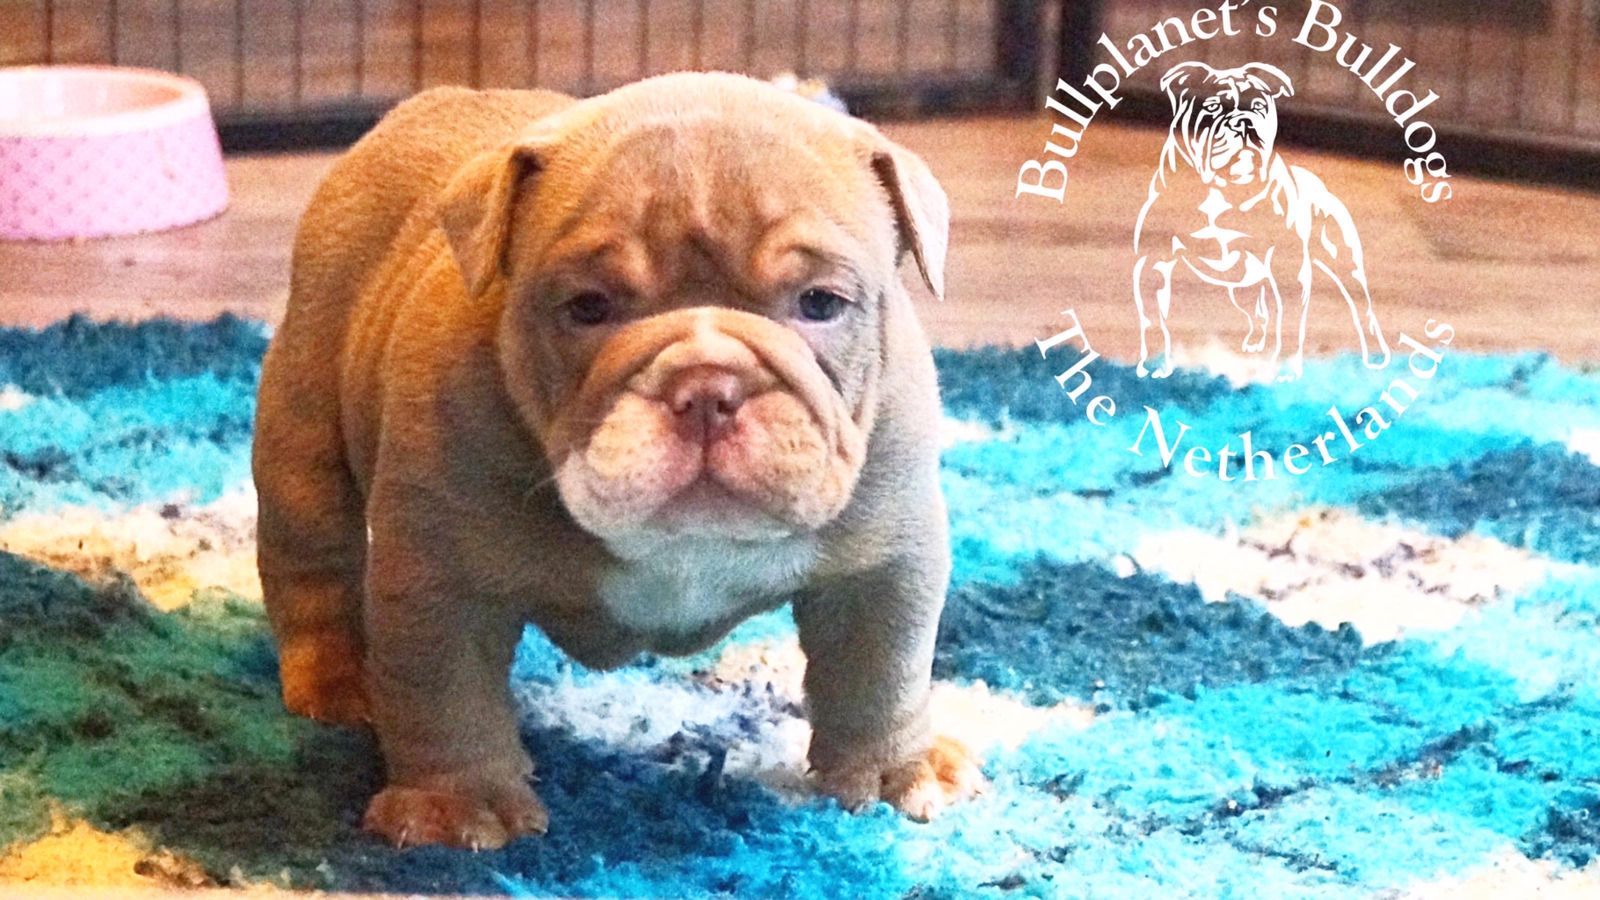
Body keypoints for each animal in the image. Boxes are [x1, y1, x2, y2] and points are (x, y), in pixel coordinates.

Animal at [252, 72, 983, 850]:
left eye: (820, 302)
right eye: (587, 307)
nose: (707, 387)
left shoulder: (884, 562)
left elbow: (883, 669)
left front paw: (895, 772)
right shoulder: (437, 574)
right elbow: (444, 687)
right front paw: (457, 805)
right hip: (303, 423)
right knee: (312, 564)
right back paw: (340, 684)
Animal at [1132, 61, 1389, 382]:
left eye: (1258, 106)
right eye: (1212, 106)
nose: (1243, 122)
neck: (1224, 190)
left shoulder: (1290, 272)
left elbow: (1289, 321)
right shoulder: (1154, 264)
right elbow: (1151, 318)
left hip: (1345, 263)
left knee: (1362, 308)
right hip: (1242, 283)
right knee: (1257, 314)